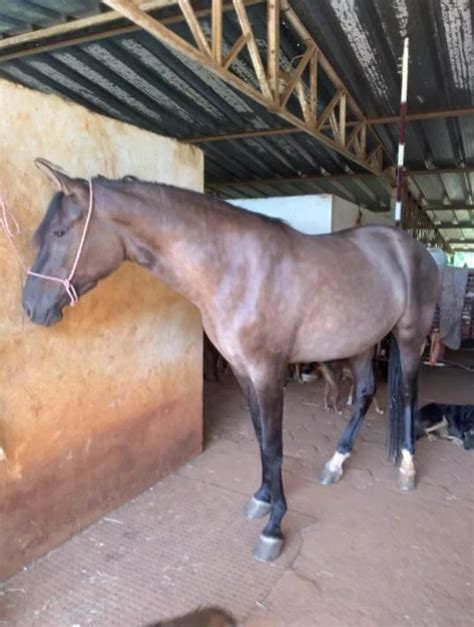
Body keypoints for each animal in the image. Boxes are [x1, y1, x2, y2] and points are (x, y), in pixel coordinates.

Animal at [20, 161, 438, 564]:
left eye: (59, 232)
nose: (30, 307)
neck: (234, 270)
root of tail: (411, 247)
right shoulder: (242, 370)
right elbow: (259, 437)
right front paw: (262, 497)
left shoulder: (268, 372)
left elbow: (274, 445)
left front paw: (273, 527)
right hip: (361, 343)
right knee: (364, 394)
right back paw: (335, 463)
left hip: (409, 338)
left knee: (408, 393)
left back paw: (407, 467)